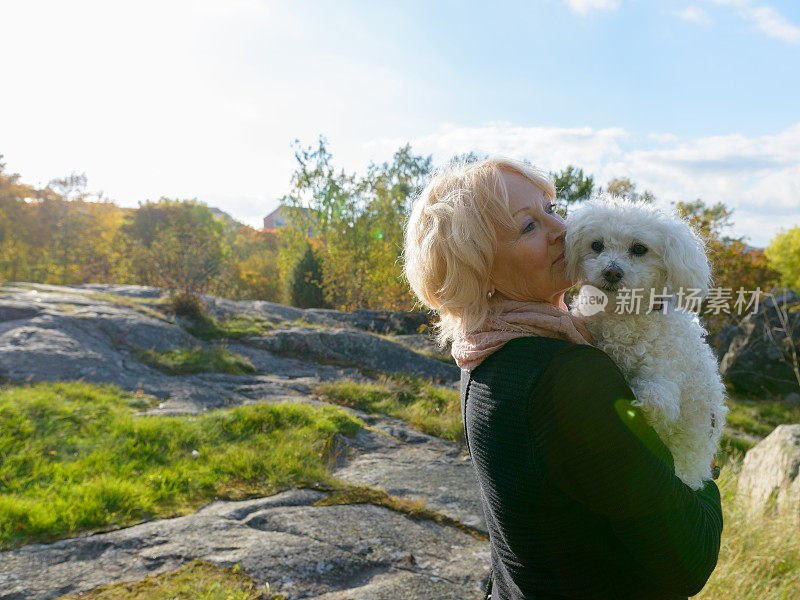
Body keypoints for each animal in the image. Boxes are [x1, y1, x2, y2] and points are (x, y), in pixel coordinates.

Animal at [564, 195, 728, 490]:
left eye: (639, 248)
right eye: (597, 245)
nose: (611, 272)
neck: (623, 314)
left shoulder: (667, 371)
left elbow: (659, 401)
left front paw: (641, 404)